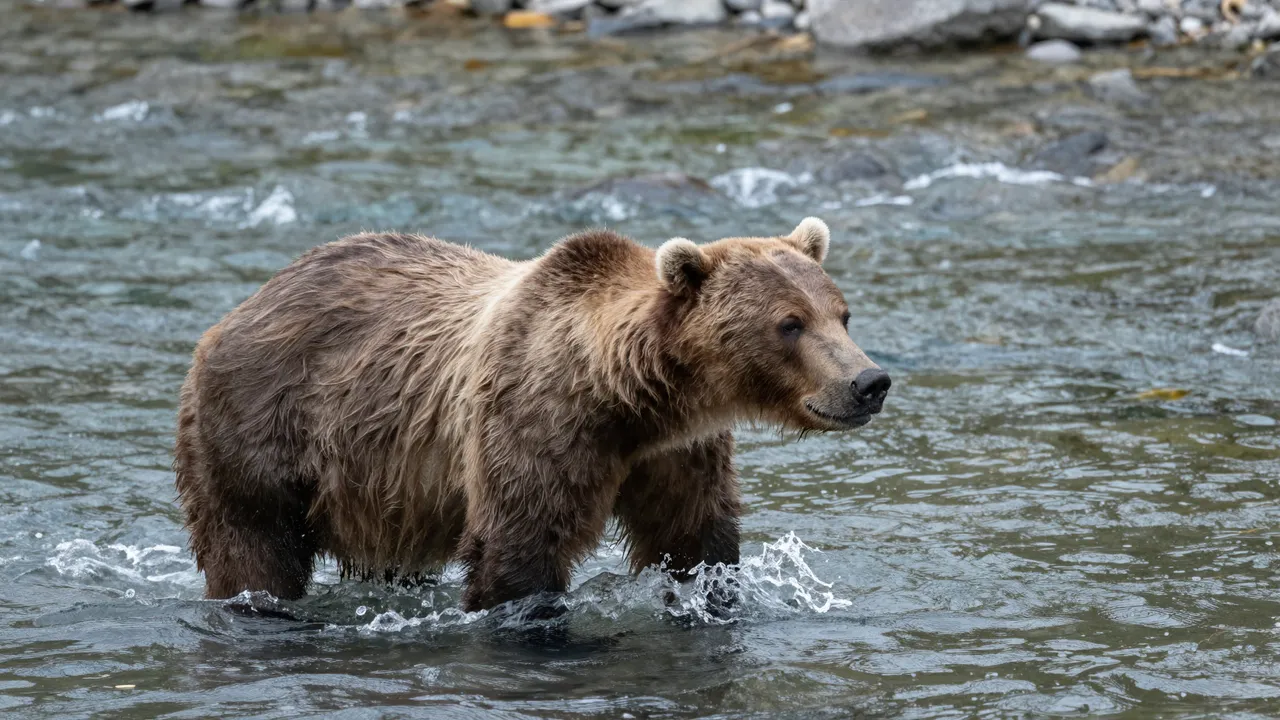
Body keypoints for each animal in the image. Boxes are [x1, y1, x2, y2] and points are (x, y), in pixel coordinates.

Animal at [173, 218, 891, 612]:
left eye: (842, 313)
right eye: (789, 324)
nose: (869, 381)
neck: (630, 400)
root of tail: (236, 311)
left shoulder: (676, 453)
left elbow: (693, 540)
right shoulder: (534, 424)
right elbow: (518, 550)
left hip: (381, 485)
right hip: (258, 431)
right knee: (252, 544)